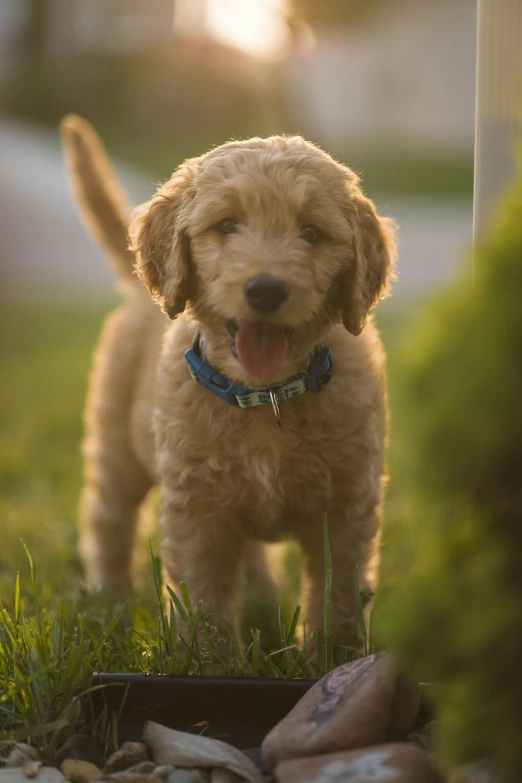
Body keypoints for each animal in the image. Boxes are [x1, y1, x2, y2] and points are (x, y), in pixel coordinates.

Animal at [61, 118, 394, 656]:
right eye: (226, 226)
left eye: (311, 232)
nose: (266, 290)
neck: (266, 395)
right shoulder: (198, 509)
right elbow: (205, 593)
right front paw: (207, 659)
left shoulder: (346, 504)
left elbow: (339, 589)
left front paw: (332, 656)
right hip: (116, 446)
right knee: (108, 519)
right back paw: (109, 604)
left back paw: (262, 598)